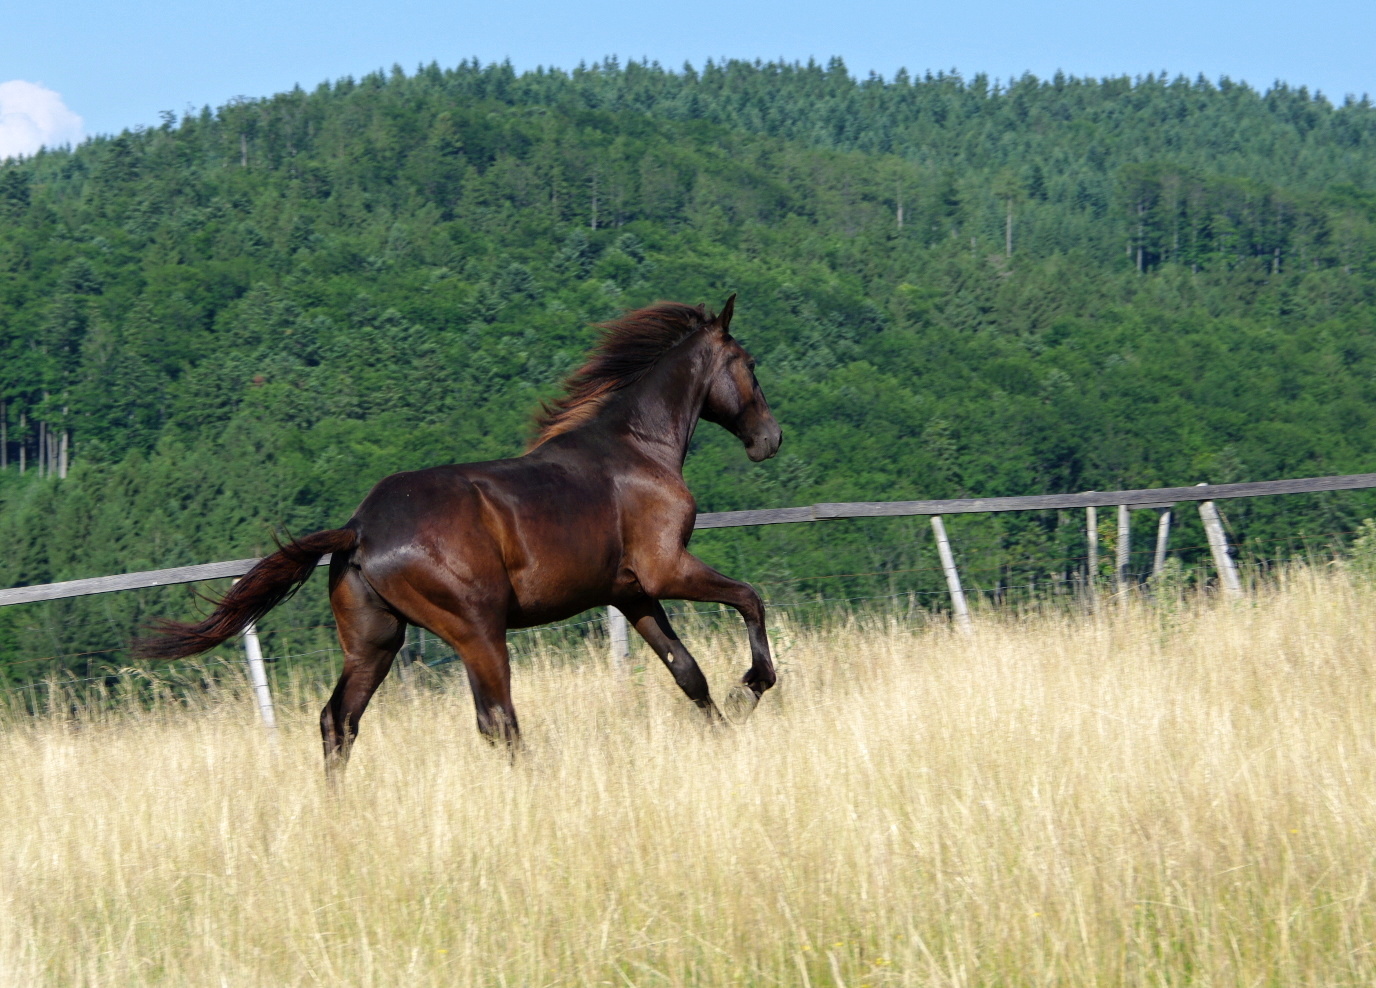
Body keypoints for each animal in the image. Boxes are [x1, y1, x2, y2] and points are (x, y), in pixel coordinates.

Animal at [142, 295, 787, 776]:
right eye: (750, 363)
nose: (770, 439)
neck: (637, 448)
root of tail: (358, 530)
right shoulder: (666, 567)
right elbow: (749, 599)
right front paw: (752, 686)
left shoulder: (630, 592)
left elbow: (687, 671)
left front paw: (725, 730)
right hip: (478, 630)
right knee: (497, 720)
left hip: (376, 642)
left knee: (338, 720)